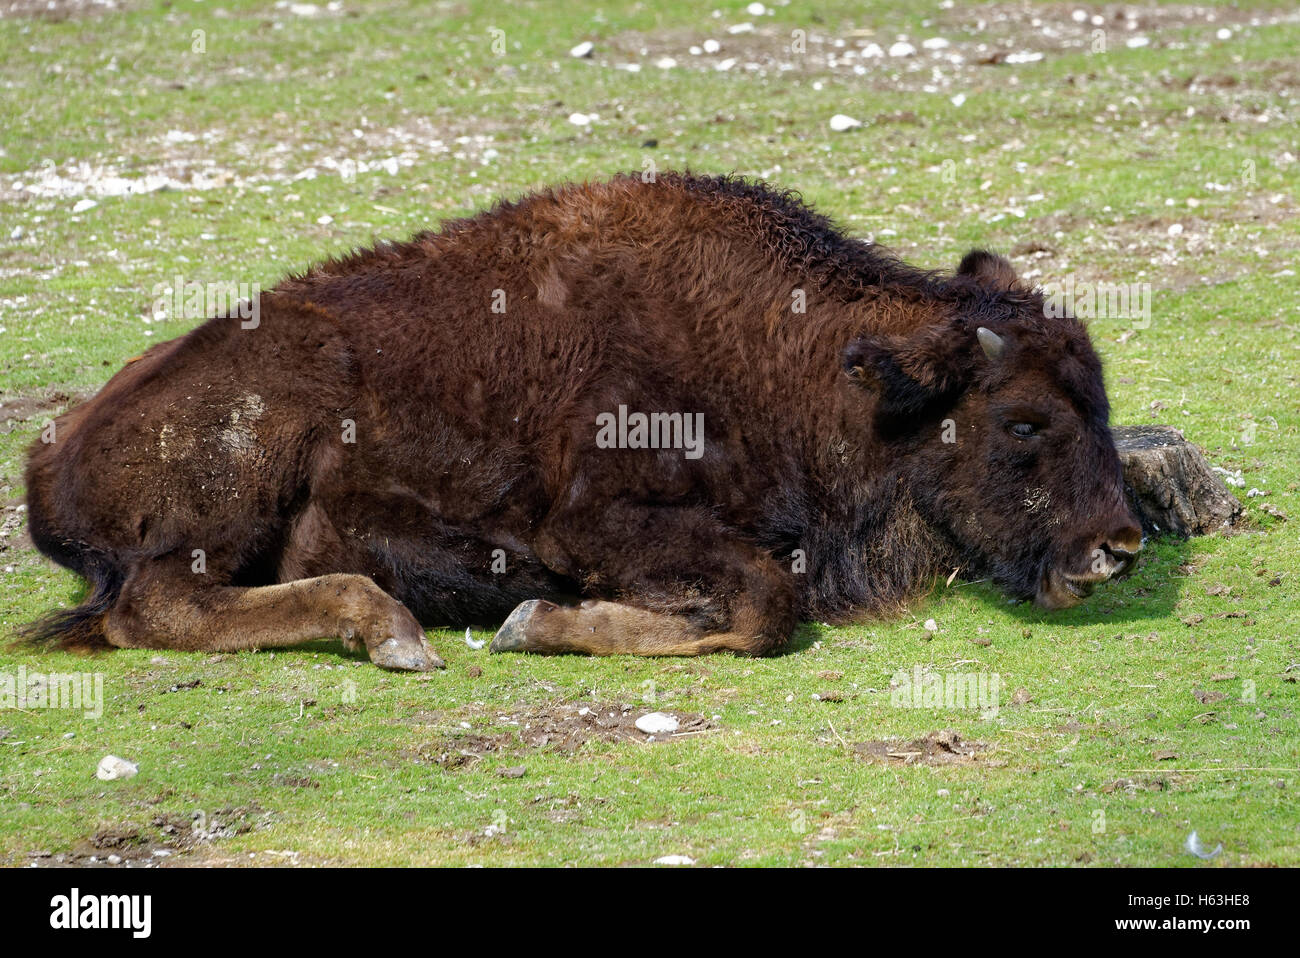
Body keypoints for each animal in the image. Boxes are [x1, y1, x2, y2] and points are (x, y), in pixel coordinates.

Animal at [17, 171, 1138, 670]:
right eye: (1023, 421)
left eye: (1100, 402)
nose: (1119, 546)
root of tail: (52, 454)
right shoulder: (596, 523)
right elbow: (764, 604)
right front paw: (534, 621)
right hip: (244, 470)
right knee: (155, 606)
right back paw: (390, 630)